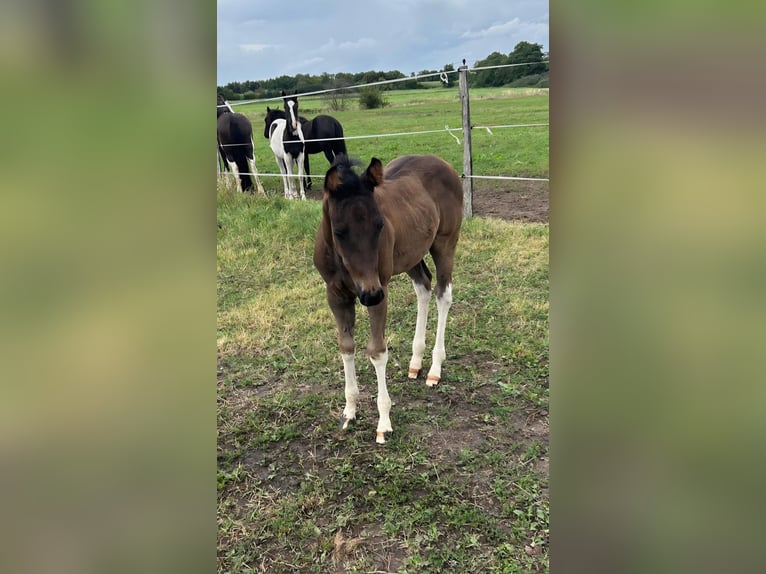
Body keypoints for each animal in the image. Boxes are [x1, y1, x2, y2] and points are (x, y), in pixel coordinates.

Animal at [313, 154, 463, 444]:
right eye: (339, 231)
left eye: (380, 224)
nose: (369, 294)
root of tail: (444, 163)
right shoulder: (335, 294)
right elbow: (346, 347)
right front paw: (349, 411)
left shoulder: (381, 288)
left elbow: (377, 351)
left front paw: (384, 422)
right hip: (411, 254)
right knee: (424, 286)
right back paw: (415, 362)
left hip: (444, 243)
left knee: (443, 294)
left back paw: (434, 368)